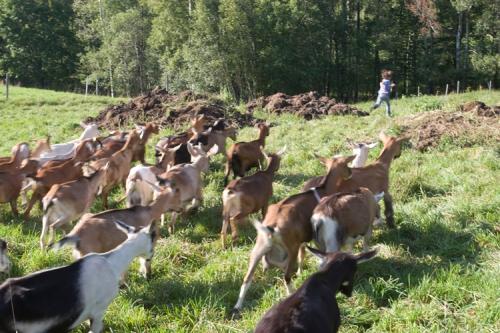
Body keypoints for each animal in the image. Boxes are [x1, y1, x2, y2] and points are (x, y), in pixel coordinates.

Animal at [50, 184, 182, 278]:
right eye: (176, 197)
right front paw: (147, 275)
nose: (180, 209)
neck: (151, 211)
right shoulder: (148, 243)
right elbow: (145, 261)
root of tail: (76, 234)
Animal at [231, 154, 356, 312]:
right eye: (346, 164)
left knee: (247, 278)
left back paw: (237, 307)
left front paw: (300, 272)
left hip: (259, 247)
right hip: (291, 249)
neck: (323, 189)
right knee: (286, 277)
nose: (350, 172)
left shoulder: (303, 239)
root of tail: (272, 227)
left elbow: (303, 254)